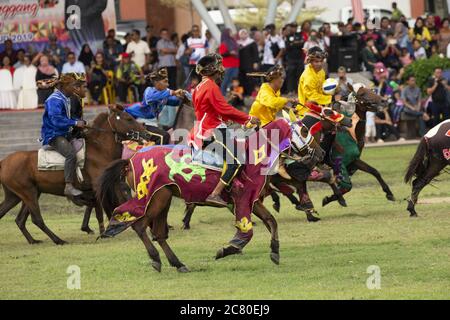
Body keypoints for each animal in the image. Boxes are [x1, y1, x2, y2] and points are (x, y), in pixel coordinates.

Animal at [0, 105, 148, 245]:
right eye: (129, 119)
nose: (146, 134)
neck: (100, 149)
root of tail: (4, 162)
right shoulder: (98, 186)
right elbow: (100, 210)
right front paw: (103, 233)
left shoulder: (110, 184)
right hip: (28, 193)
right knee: (36, 219)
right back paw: (58, 240)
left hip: (21, 195)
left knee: (18, 218)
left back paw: (33, 240)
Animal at [96, 117, 326, 272]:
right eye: (304, 130)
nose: (322, 152)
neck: (254, 154)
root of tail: (131, 159)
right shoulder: (243, 200)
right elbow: (247, 231)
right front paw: (228, 249)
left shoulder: (252, 200)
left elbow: (271, 221)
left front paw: (275, 251)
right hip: (152, 198)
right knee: (138, 224)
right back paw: (156, 259)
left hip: (164, 198)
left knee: (158, 233)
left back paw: (177, 263)